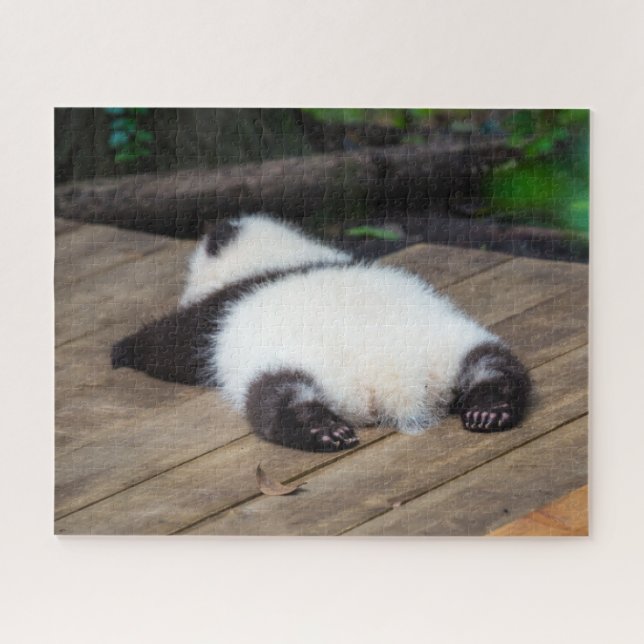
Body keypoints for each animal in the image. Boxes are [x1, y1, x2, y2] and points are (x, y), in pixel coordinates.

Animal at [112, 214, 530, 452]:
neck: (282, 257)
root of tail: (396, 381)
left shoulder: (219, 311)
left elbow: (172, 344)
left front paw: (122, 351)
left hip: (290, 366)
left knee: (277, 397)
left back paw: (322, 431)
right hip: (453, 344)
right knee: (495, 366)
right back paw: (489, 409)